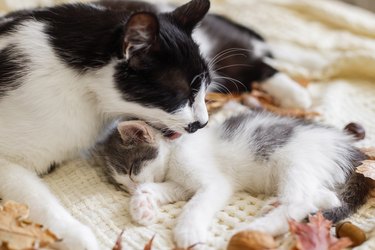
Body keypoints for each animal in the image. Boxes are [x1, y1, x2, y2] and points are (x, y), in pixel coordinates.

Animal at [95, 105, 372, 248]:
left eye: (132, 170)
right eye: (121, 185)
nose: (131, 189)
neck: (176, 148)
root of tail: (353, 151)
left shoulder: (214, 182)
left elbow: (196, 204)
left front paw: (188, 231)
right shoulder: (180, 184)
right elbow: (166, 189)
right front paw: (142, 205)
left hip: (296, 161)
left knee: (302, 201)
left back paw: (255, 228)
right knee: (326, 197)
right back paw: (274, 205)